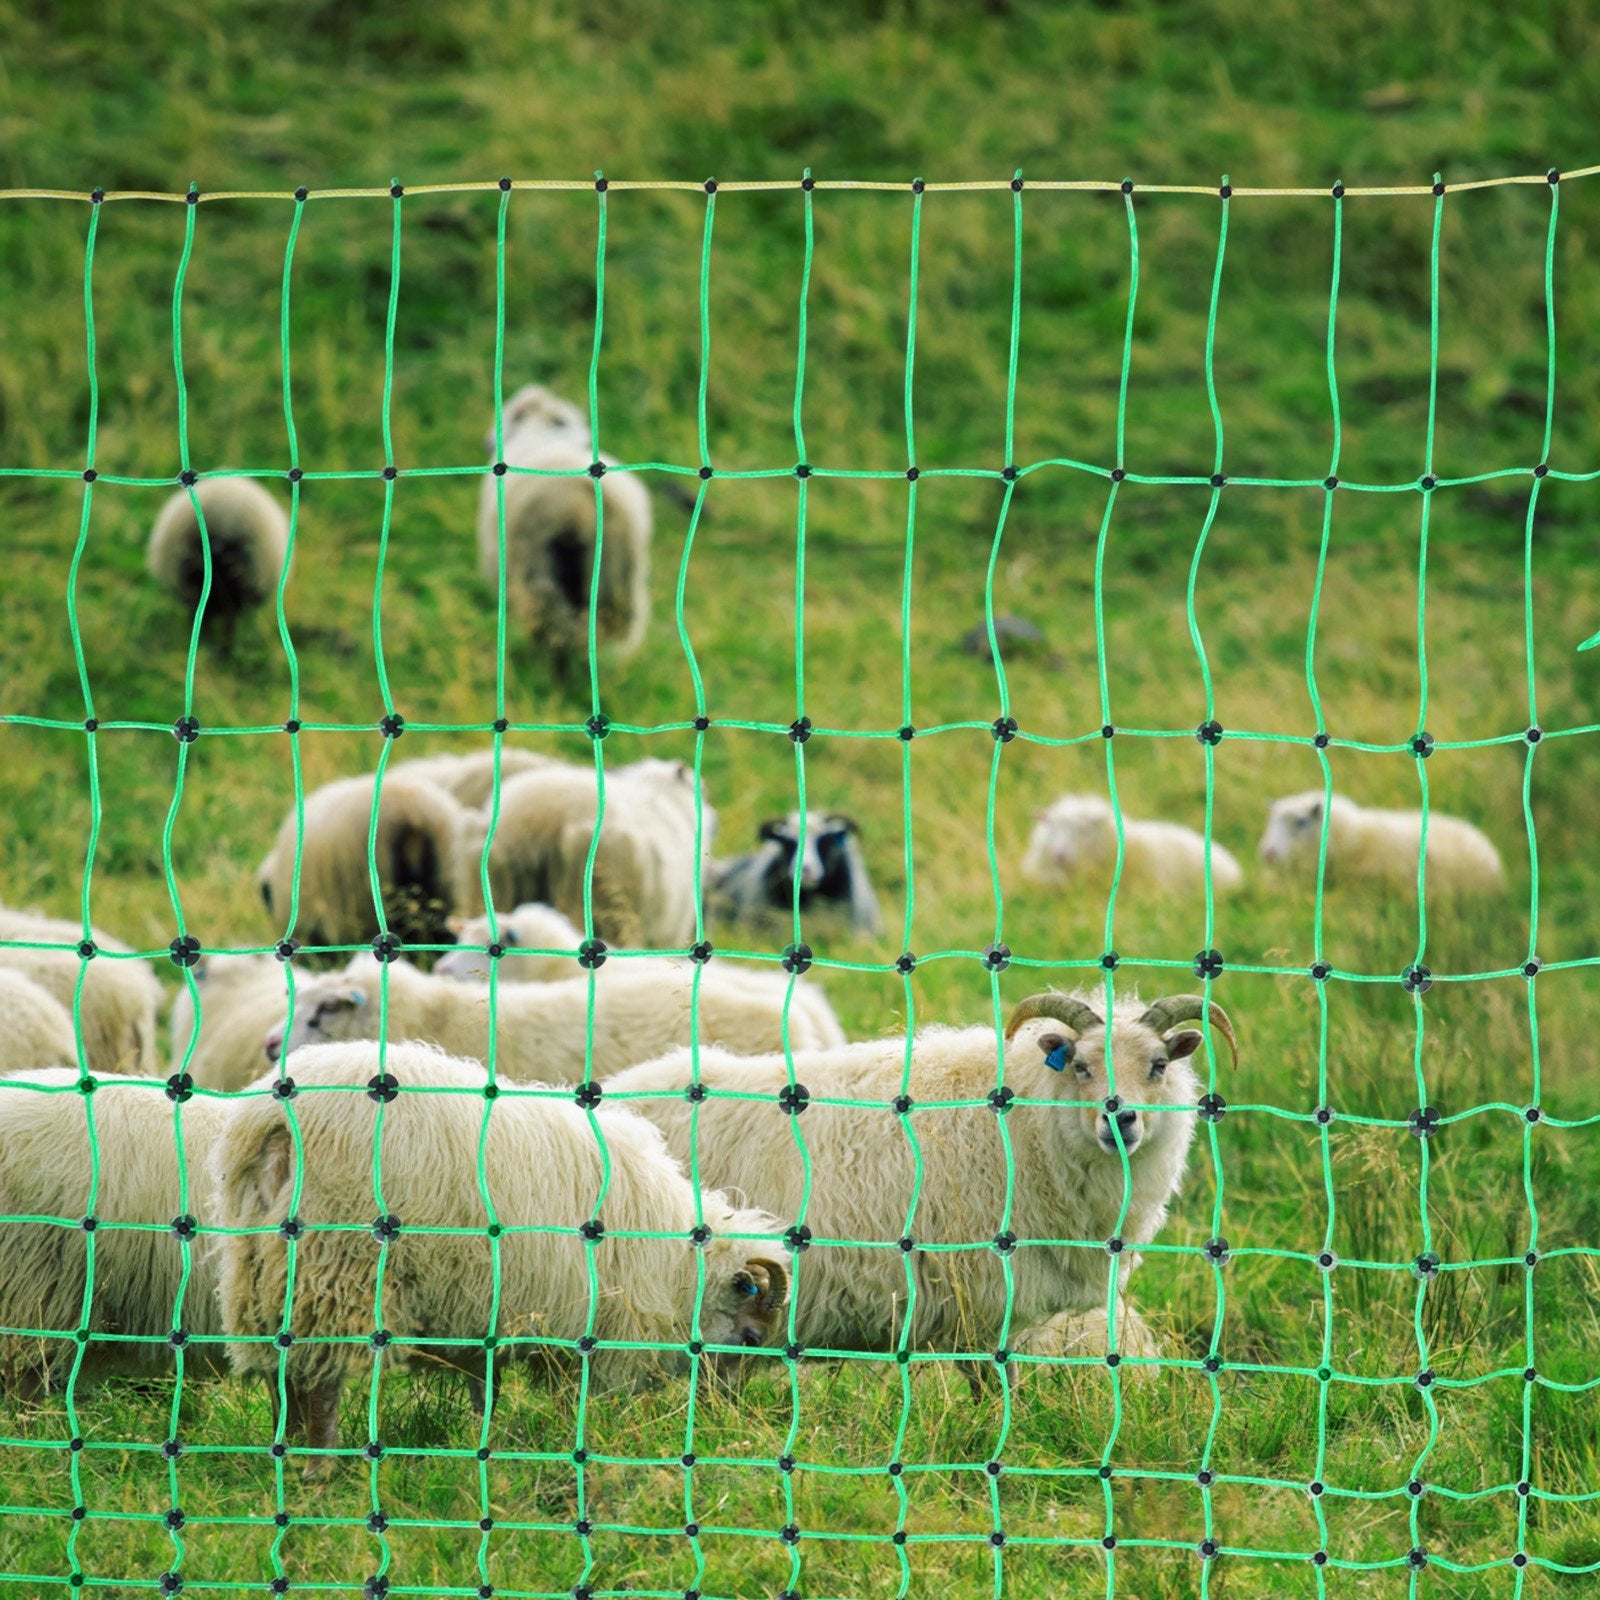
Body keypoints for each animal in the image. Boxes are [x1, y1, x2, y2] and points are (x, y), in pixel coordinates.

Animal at [214, 1041, 788, 1476]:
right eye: (751, 1338)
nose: (726, 1416)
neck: (675, 1268)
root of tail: (271, 1123)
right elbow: (575, 1401)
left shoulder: (486, 1316)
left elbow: (482, 1392)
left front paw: (483, 1445)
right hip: (335, 1265)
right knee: (320, 1384)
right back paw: (319, 1468)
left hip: (257, 1266)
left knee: (281, 1372)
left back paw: (287, 1453)